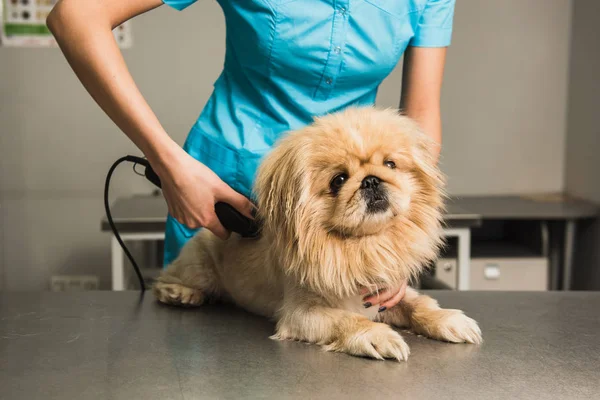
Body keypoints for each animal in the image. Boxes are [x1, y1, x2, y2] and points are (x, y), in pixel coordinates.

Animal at [152, 107, 480, 362]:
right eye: (339, 180)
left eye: (390, 164)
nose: (371, 180)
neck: (360, 245)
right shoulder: (302, 313)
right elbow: (348, 319)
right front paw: (378, 336)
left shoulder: (386, 292)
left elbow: (418, 304)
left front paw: (449, 320)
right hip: (199, 266)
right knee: (164, 280)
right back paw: (181, 294)